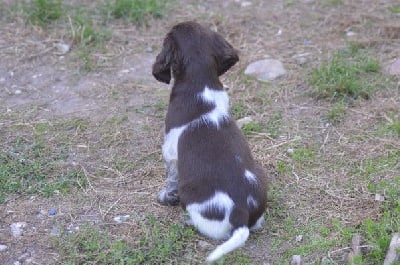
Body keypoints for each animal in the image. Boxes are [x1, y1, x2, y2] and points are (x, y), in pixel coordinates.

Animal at [152, 21, 268, 264]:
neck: (200, 82)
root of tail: (240, 214)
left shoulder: (170, 152)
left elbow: (170, 180)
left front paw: (166, 197)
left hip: (193, 199)